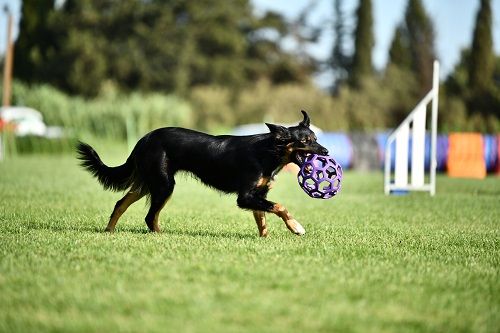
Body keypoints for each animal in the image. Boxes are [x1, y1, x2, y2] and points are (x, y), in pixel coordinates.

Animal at [77, 110, 328, 235]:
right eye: (304, 141)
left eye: (315, 138)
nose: (325, 151)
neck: (268, 151)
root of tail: (144, 138)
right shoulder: (245, 197)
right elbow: (280, 207)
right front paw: (296, 227)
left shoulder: (259, 194)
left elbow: (263, 220)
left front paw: (265, 239)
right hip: (163, 184)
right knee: (149, 216)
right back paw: (160, 235)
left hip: (148, 183)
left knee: (121, 203)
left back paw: (109, 231)